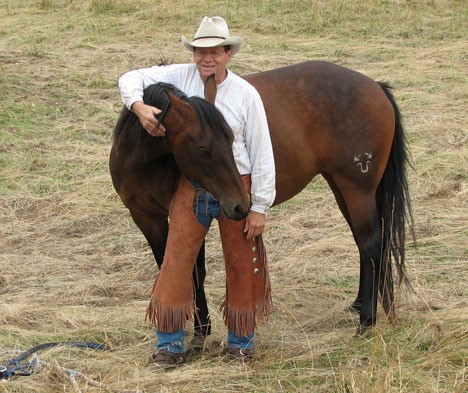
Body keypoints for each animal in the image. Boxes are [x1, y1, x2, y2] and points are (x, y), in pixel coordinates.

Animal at [110, 60, 414, 336]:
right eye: (202, 147)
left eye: (232, 139)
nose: (240, 203)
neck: (143, 161)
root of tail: (375, 86)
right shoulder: (147, 218)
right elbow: (169, 266)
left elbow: (194, 271)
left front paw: (201, 330)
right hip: (342, 189)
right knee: (365, 244)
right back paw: (359, 304)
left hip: (357, 191)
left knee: (371, 243)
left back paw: (366, 322)